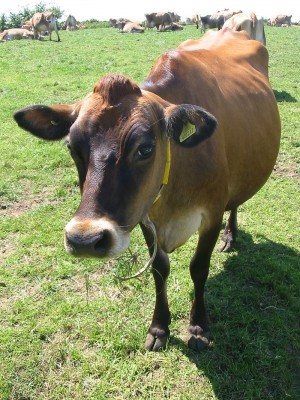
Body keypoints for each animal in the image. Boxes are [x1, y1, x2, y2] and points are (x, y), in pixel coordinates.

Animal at [14, 29, 282, 352]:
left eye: (145, 148)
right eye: (72, 147)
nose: (85, 240)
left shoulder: (212, 213)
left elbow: (199, 267)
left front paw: (198, 326)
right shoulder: (143, 216)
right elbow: (159, 269)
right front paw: (159, 327)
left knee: (237, 202)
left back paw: (231, 235)